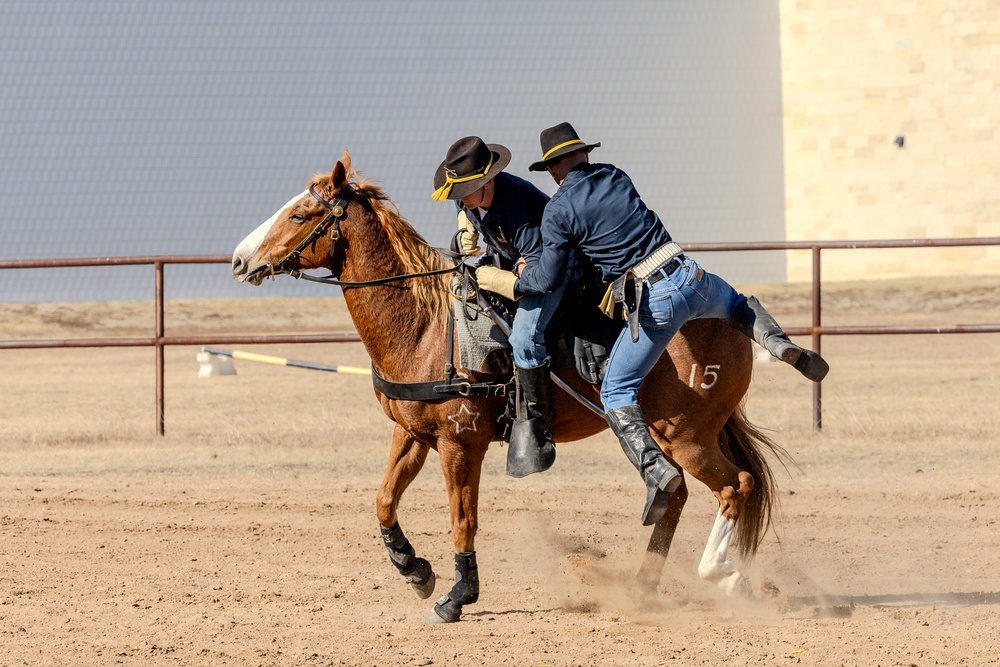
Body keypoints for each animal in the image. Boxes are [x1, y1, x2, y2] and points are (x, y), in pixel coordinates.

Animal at [230, 154, 784, 624]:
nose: (238, 260)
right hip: (674, 436)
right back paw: (644, 587)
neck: (427, 327)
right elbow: (384, 500)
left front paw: (457, 596)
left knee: (733, 486)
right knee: (678, 493)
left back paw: (721, 575)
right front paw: (415, 570)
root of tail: (722, 316)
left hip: (686, 435)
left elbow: (463, 519)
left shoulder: (460, 445)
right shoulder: (411, 435)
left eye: (300, 214)